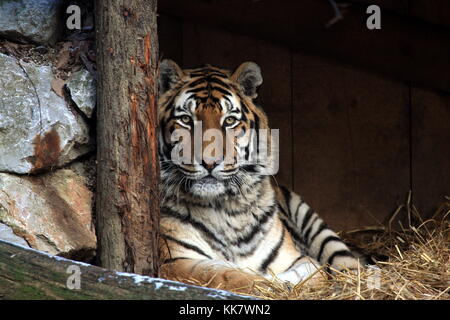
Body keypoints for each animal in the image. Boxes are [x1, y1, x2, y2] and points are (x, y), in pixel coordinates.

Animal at [156, 59, 360, 292]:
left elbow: (312, 272)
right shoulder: (174, 261)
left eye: (229, 121)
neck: (225, 211)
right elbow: (230, 276)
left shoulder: (296, 257)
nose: (210, 162)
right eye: (185, 120)